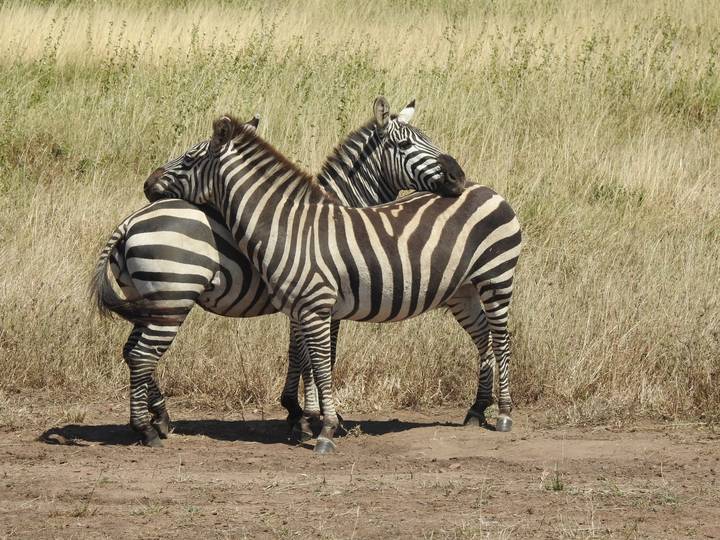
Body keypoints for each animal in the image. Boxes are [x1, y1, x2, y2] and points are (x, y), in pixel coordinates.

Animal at [143, 106, 522, 454]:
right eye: (404, 144)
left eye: (189, 156)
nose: (457, 176)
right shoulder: (309, 305)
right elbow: (313, 358)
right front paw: (310, 417)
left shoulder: (317, 304)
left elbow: (314, 358)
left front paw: (309, 418)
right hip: (466, 289)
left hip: (490, 279)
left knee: (497, 339)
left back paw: (498, 413)